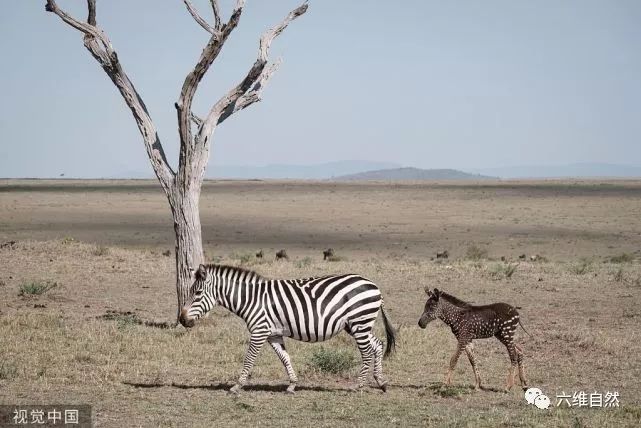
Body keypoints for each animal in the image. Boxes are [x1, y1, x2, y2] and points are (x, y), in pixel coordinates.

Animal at [178, 264, 392, 394]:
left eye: (197, 293)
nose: (182, 319)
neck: (251, 299)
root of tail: (374, 286)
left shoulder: (259, 331)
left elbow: (249, 359)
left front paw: (237, 385)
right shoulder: (273, 334)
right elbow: (285, 358)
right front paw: (292, 385)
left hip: (359, 322)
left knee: (366, 352)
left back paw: (358, 385)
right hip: (357, 325)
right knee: (378, 345)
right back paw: (381, 382)